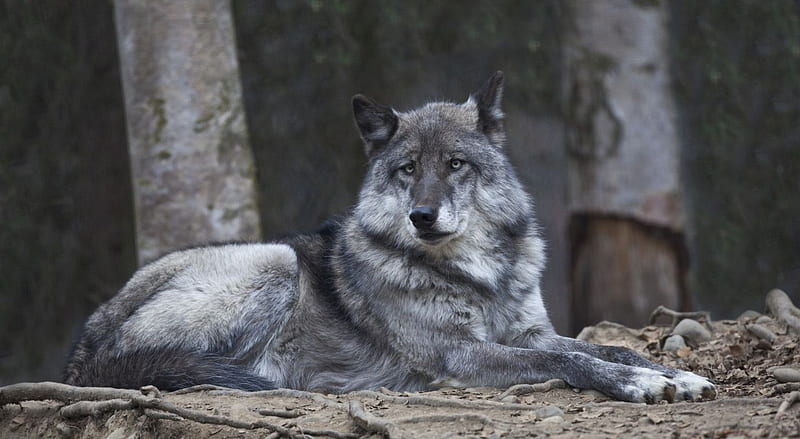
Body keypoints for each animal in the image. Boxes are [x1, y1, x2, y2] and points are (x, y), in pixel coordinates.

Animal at [61, 72, 712, 406]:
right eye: (407, 169)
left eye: (455, 165)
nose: (422, 216)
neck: (478, 275)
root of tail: (80, 353)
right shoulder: (461, 354)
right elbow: (573, 361)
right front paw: (640, 384)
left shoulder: (531, 331)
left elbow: (603, 348)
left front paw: (672, 374)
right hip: (273, 260)